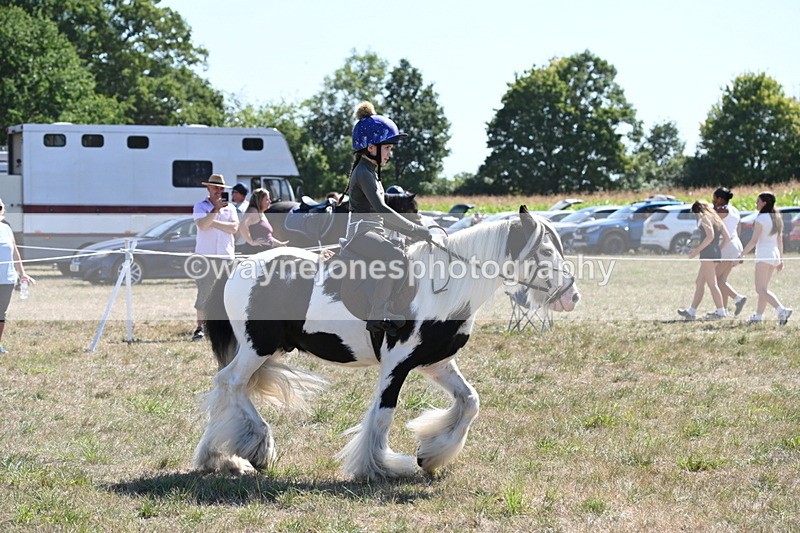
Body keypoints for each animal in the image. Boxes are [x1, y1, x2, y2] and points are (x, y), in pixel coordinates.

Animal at [193, 206, 580, 480]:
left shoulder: (435, 363)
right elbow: (383, 414)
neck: (442, 286)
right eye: (545, 252)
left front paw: (431, 454)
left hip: (261, 350)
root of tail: (239, 265)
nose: (572, 297)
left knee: (229, 387)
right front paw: (378, 466)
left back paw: (223, 458)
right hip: (255, 348)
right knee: (230, 383)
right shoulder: (397, 364)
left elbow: (470, 401)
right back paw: (251, 448)